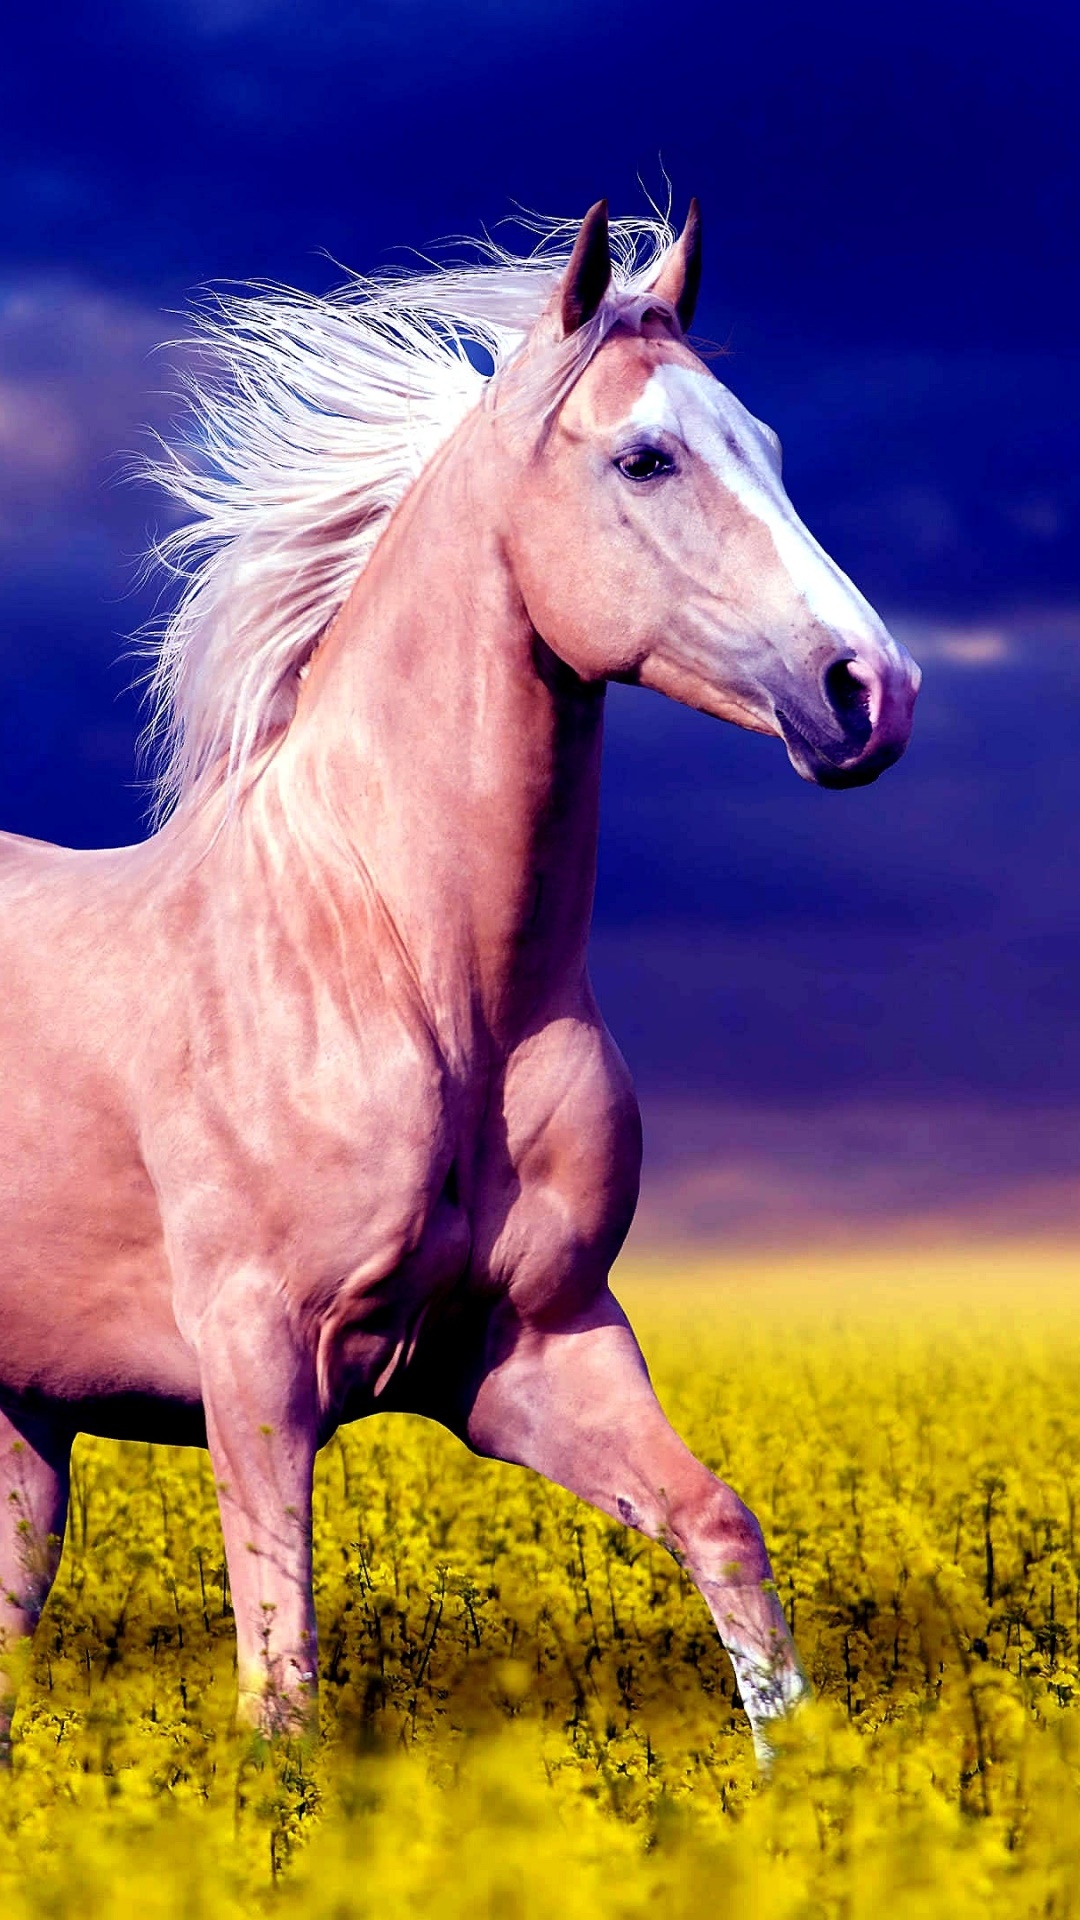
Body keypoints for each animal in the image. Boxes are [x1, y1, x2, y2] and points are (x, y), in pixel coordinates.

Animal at [0, 201, 920, 1760]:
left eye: (771, 446)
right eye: (645, 458)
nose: (872, 692)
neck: (407, 975)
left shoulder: (537, 1350)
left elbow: (723, 1534)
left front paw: (799, 1779)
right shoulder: (257, 1366)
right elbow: (283, 1679)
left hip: (24, 1417)